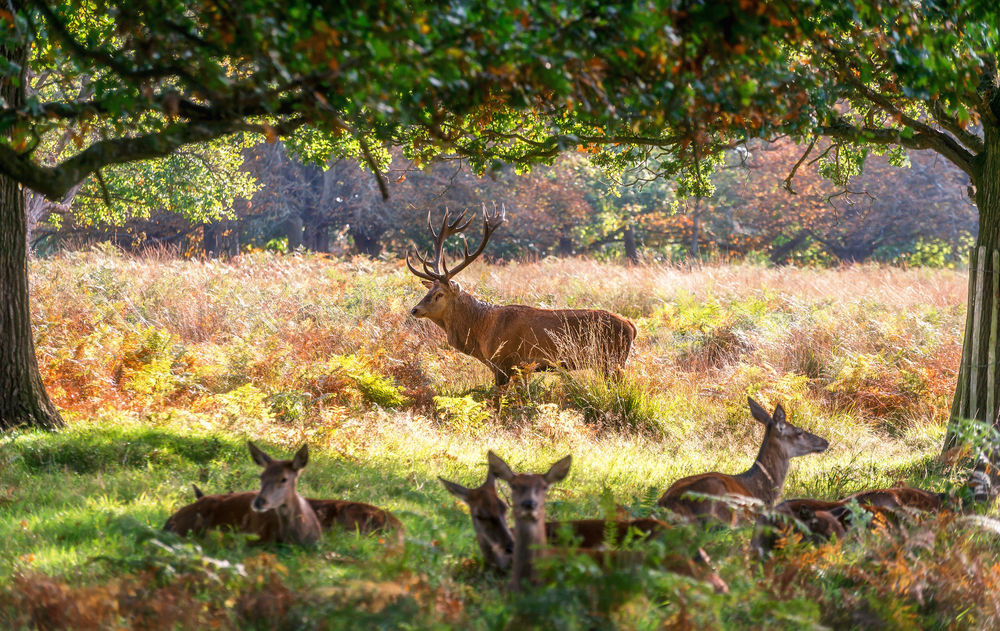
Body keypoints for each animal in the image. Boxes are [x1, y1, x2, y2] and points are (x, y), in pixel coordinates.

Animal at [407, 205, 636, 388]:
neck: (482, 331)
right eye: (428, 291)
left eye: (439, 294)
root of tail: (631, 326)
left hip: (612, 360)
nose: (415, 310)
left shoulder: (504, 362)